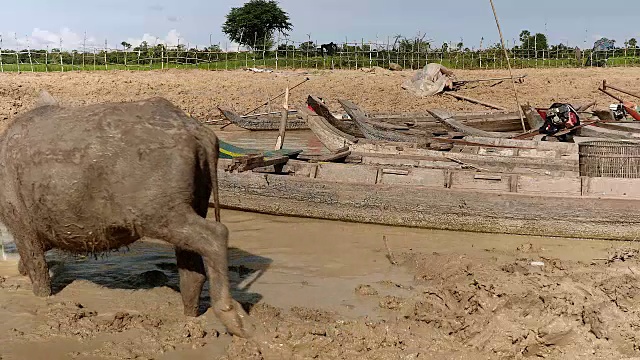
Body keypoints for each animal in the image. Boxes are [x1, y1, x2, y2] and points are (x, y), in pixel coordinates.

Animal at [0, 92, 255, 338]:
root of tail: (193, 128)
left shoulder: (19, 222)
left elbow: (37, 270)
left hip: (161, 214)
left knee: (215, 234)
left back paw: (235, 320)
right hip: (193, 204)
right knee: (192, 268)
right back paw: (190, 316)